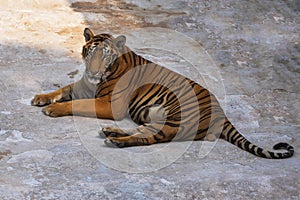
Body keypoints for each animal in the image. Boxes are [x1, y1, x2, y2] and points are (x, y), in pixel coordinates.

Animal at [31, 27, 294, 159]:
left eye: (105, 56)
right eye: (91, 52)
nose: (94, 69)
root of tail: (222, 113)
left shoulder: (109, 104)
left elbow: (76, 104)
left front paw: (52, 108)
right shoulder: (84, 86)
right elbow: (64, 89)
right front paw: (40, 98)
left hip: (175, 120)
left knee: (148, 138)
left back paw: (114, 140)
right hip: (158, 118)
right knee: (142, 131)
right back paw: (111, 132)